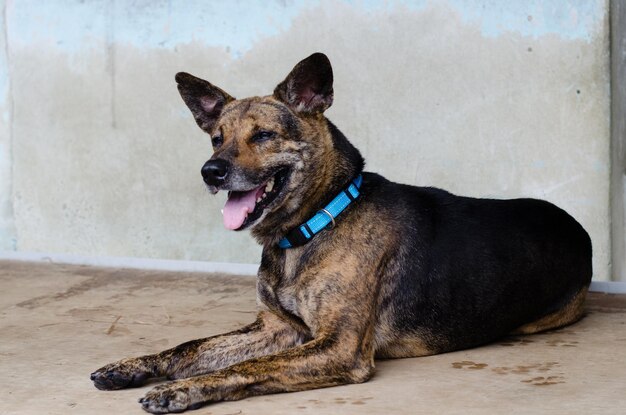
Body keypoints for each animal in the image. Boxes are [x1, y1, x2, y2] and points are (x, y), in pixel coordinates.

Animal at [90, 53, 592, 414]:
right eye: (217, 138)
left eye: (264, 135)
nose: (210, 172)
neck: (310, 227)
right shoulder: (277, 328)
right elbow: (190, 347)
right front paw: (132, 366)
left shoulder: (339, 346)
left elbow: (250, 365)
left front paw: (185, 388)